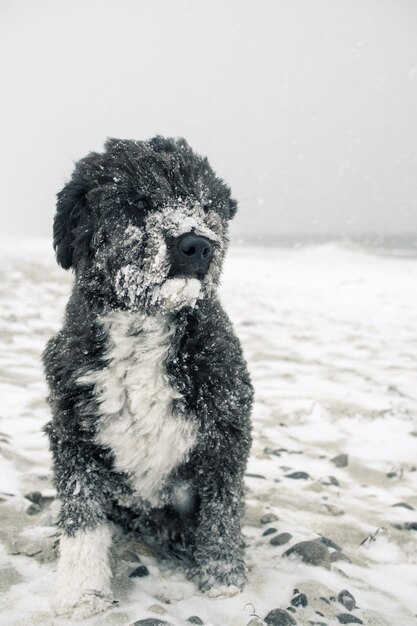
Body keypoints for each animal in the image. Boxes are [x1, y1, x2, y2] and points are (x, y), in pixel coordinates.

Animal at [44, 134, 254, 616]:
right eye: (137, 202)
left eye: (207, 205)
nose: (197, 245)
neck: (145, 325)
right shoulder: (73, 432)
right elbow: (82, 519)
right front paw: (82, 591)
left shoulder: (226, 430)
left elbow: (223, 511)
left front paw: (223, 580)